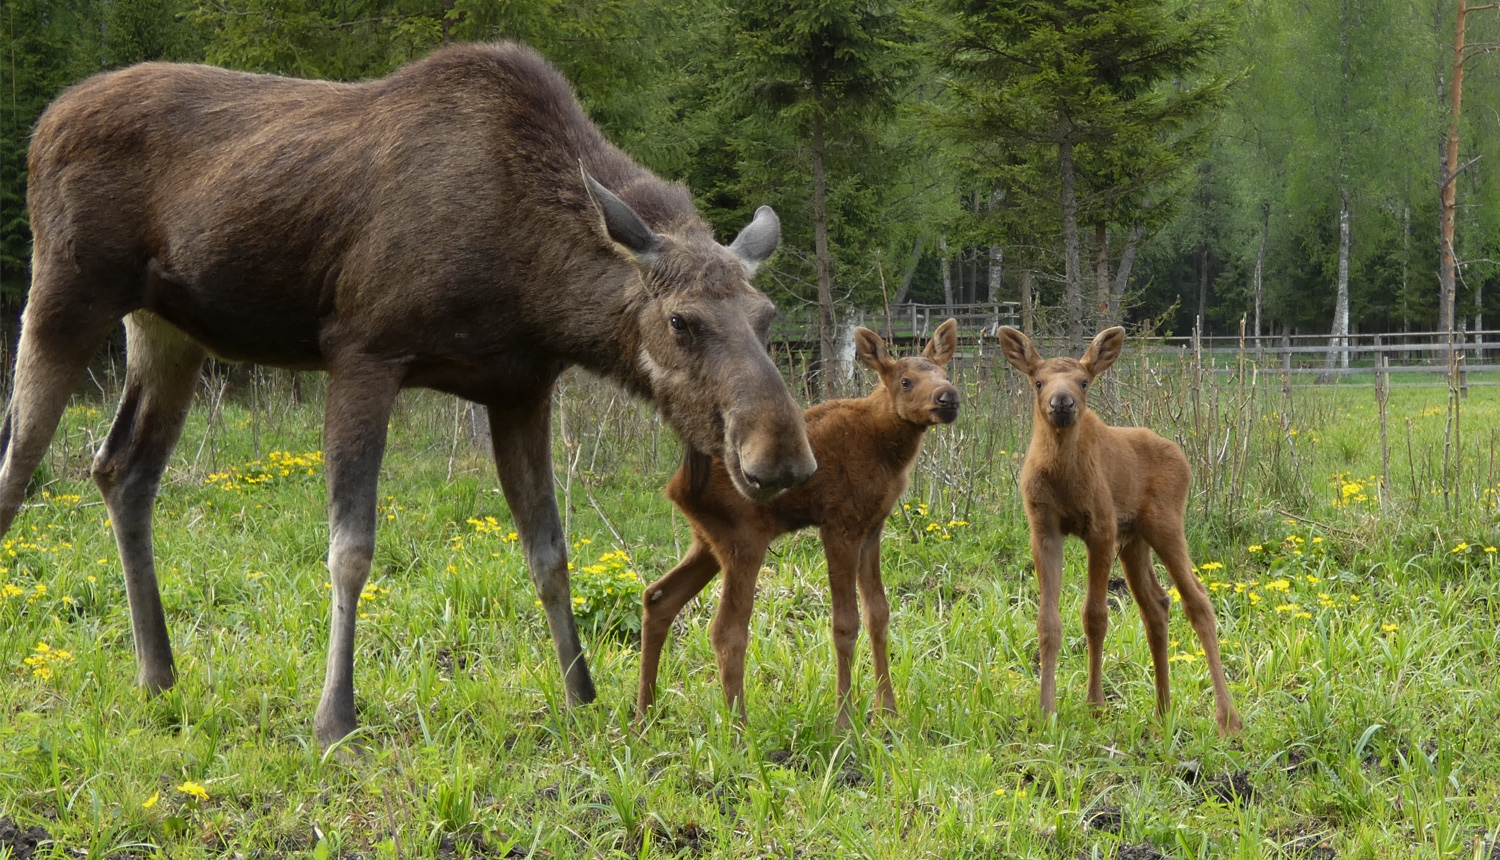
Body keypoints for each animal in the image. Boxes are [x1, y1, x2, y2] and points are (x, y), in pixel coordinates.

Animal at [5, 43, 816, 747]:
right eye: (681, 320)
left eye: (766, 315)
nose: (780, 455)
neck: (538, 284)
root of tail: (43, 123)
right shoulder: (364, 351)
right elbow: (352, 548)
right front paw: (335, 718)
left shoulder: (519, 389)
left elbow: (550, 552)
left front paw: (582, 697)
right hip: (65, 293)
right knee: (19, 466)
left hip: (167, 330)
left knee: (122, 470)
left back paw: (159, 674)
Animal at [636, 319, 960, 723]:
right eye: (905, 381)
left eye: (945, 373)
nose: (949, 397)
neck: (889, 452)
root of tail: (677, 487)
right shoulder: (840, 524)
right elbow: (844, 624)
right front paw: (844, 719)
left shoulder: (872, 528)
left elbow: (879, 615)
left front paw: (889, 710)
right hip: (744, 539)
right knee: (726, 630)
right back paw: (738, 726)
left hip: (708, 543)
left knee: (658, 597)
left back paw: (643, 715)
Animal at [996, 325, 1242, 735]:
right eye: (1038, 381)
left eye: (1083, 381)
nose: (1062, 403)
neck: (1062, 477)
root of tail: (1184, 460)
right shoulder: (1043, 529)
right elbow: (1048, 622)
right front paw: (1046, 712)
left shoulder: (1102, 527)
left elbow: (1095, 616)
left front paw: (1094, 705)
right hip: (1135, 540)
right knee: (1156, 604)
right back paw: (1163, 708)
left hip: (1165, 523)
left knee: (1197, 600)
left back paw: (1227, 718)